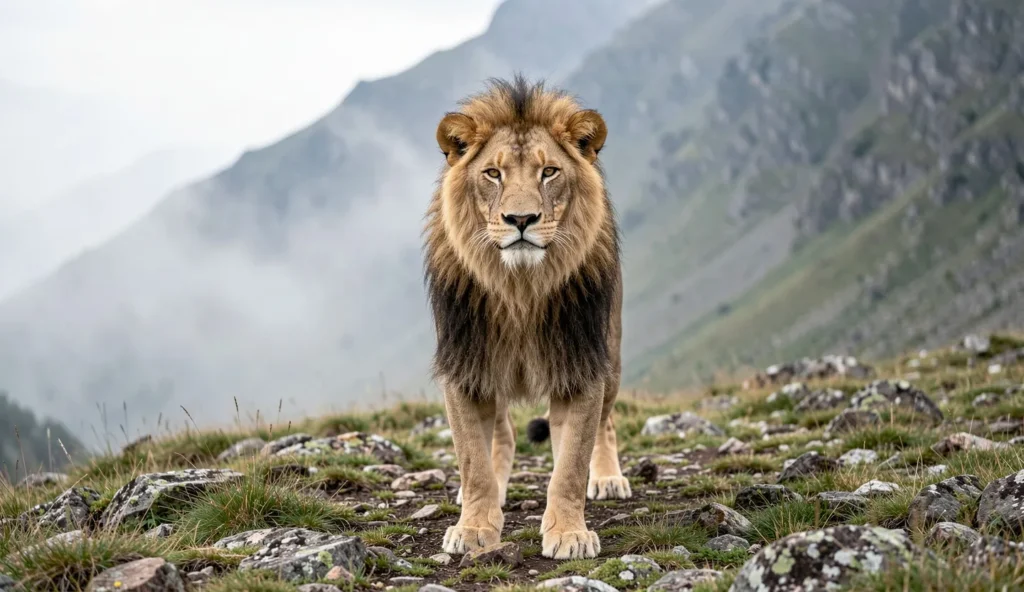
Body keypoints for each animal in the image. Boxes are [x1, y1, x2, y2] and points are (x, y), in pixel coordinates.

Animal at [423, 74, 631, 560]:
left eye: (549, 172)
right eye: (492, 173)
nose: (521, 219)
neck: (519, 288)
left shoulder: (580, 363)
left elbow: (571, 462)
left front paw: (569, 533)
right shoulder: (465, 364)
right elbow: (473, 460)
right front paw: (474, 526)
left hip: (611, 356)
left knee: (602, 423)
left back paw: (607, 478)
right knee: (502, 433)